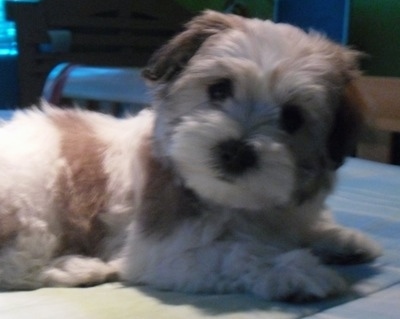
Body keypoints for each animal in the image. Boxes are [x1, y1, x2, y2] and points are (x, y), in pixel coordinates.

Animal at [0, 11, 382, 302]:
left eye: (292, 118)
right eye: (219, 89)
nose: (235, 150)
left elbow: (300, 227)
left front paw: (340, 238)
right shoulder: (160, 249)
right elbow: (237, 253)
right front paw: (294, 269)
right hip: (32, 216)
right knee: (16, 269)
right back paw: (77, 268)